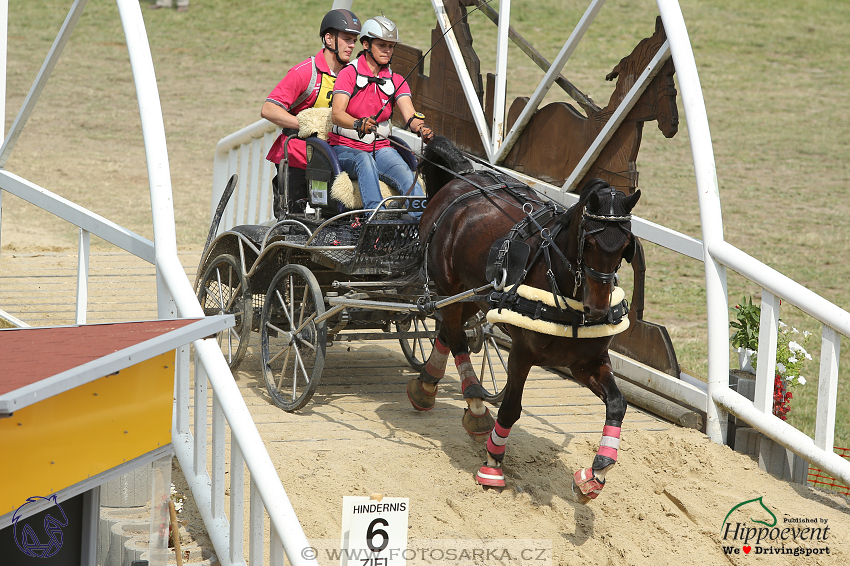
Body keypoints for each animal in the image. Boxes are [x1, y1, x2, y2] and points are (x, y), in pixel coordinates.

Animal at [404, 140, 636, 504]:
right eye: (589, 241)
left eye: (626, 245)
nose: (598, 309)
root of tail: (466, 179)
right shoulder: (522, 355)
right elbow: (511, 408)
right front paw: (493, 465)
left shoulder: (587, 363)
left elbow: (617, 404)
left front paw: (595, 474)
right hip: (449, 288)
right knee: (455, 335)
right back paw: (474, 404)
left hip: (476, 295)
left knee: (449, 331)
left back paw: (428, 384)